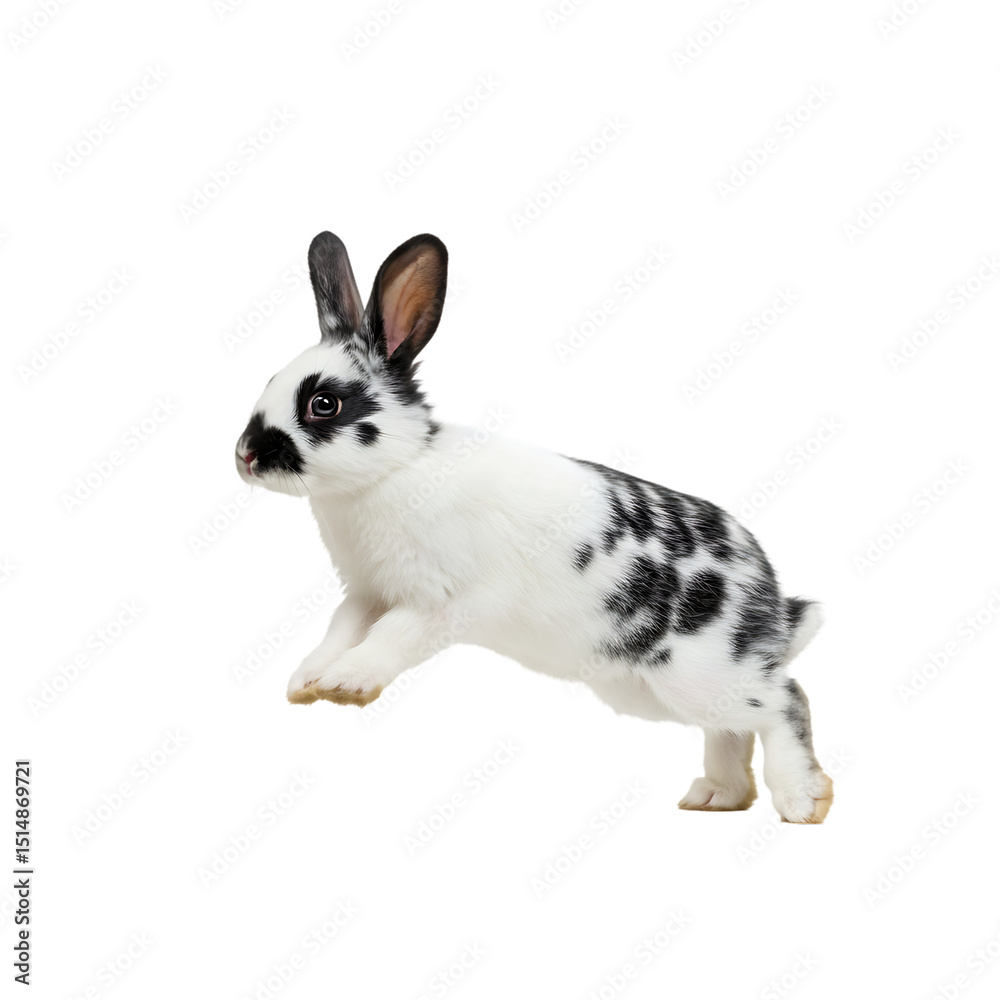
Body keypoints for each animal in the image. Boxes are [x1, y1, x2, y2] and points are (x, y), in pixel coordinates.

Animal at [235, 232, 833, 824]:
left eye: (323, 403)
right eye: (269, 380)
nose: (244, 455)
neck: (397, 468)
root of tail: (769, 598)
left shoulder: (441, 601)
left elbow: (392, 636)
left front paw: (346, 682)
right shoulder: (366, 594)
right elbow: (339, 632)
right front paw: (307, 682)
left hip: (700, 672)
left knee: (783, 701)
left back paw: (802, 801)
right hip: (653, 690)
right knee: (733, 727)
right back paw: (717, 797)